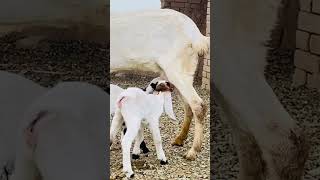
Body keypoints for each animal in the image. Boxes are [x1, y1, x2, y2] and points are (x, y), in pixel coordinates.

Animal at [110, 8, 210, 160]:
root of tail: (196, 35)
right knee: (188, 106)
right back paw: (179, 139)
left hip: (176, 69)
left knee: (198, 105)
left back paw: (193, 151)